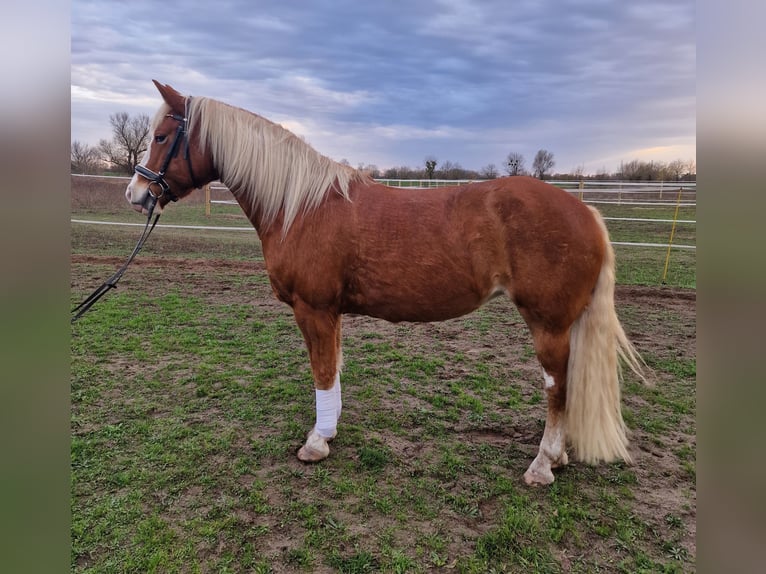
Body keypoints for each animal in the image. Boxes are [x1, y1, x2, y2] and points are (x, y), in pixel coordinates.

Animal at [126, 80, 645, 486]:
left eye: (162, 135)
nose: (136, 194)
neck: (300, 206)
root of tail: (587, 213)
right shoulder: (330, 312)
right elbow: (333, 369)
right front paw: (330, 428)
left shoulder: (312, 309)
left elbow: (321, 371)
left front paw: (316, 443)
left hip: (549, 325)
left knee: (557, 388)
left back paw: (542, 465)